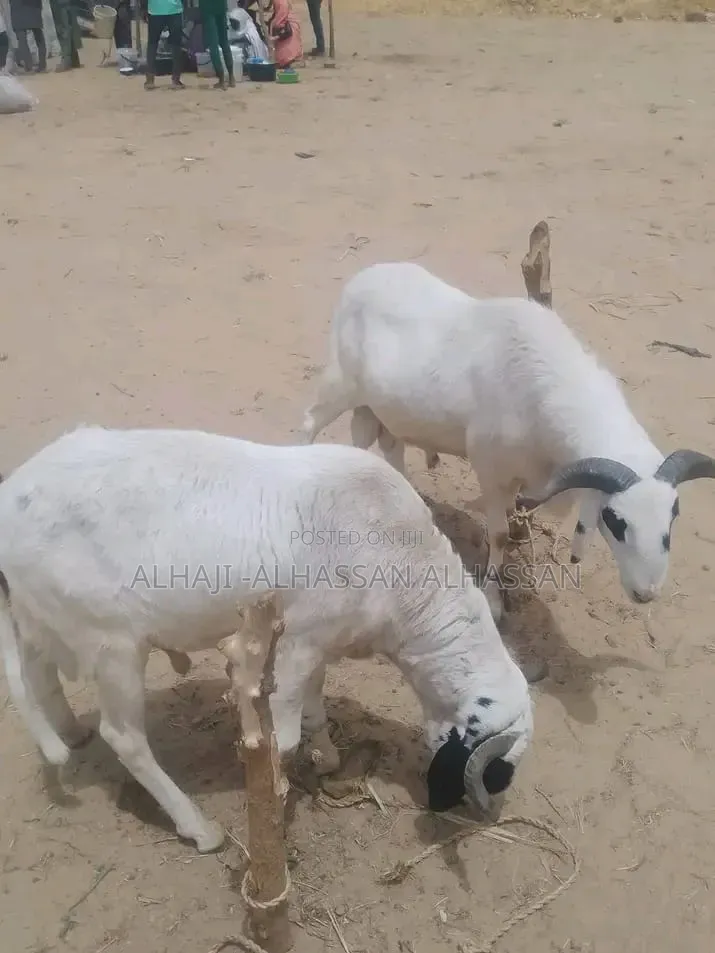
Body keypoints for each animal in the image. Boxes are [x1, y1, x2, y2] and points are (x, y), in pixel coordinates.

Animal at [0, 424, 533, 852]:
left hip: (44, 616)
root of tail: (11, 495)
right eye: (494, 771)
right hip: (112, 645)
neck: (404, 567)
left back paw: (70, 732)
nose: (487, 812)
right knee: (125, 738)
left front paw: (329, 759)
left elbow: (315, 707)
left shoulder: (316, 643)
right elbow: (288, 733)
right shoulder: (299, 640)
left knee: (38, 671)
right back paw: (199, 829)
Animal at [302, 261, 715, 622]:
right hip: (340, 384)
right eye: (615, 521)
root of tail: (364, 276)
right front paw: (494, 600)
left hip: (382, 407)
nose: (646, 593)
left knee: (385, 446)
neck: (544, 387)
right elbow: (498, 535)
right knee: (309, 424)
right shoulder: (491, 470)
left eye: (673, 517)